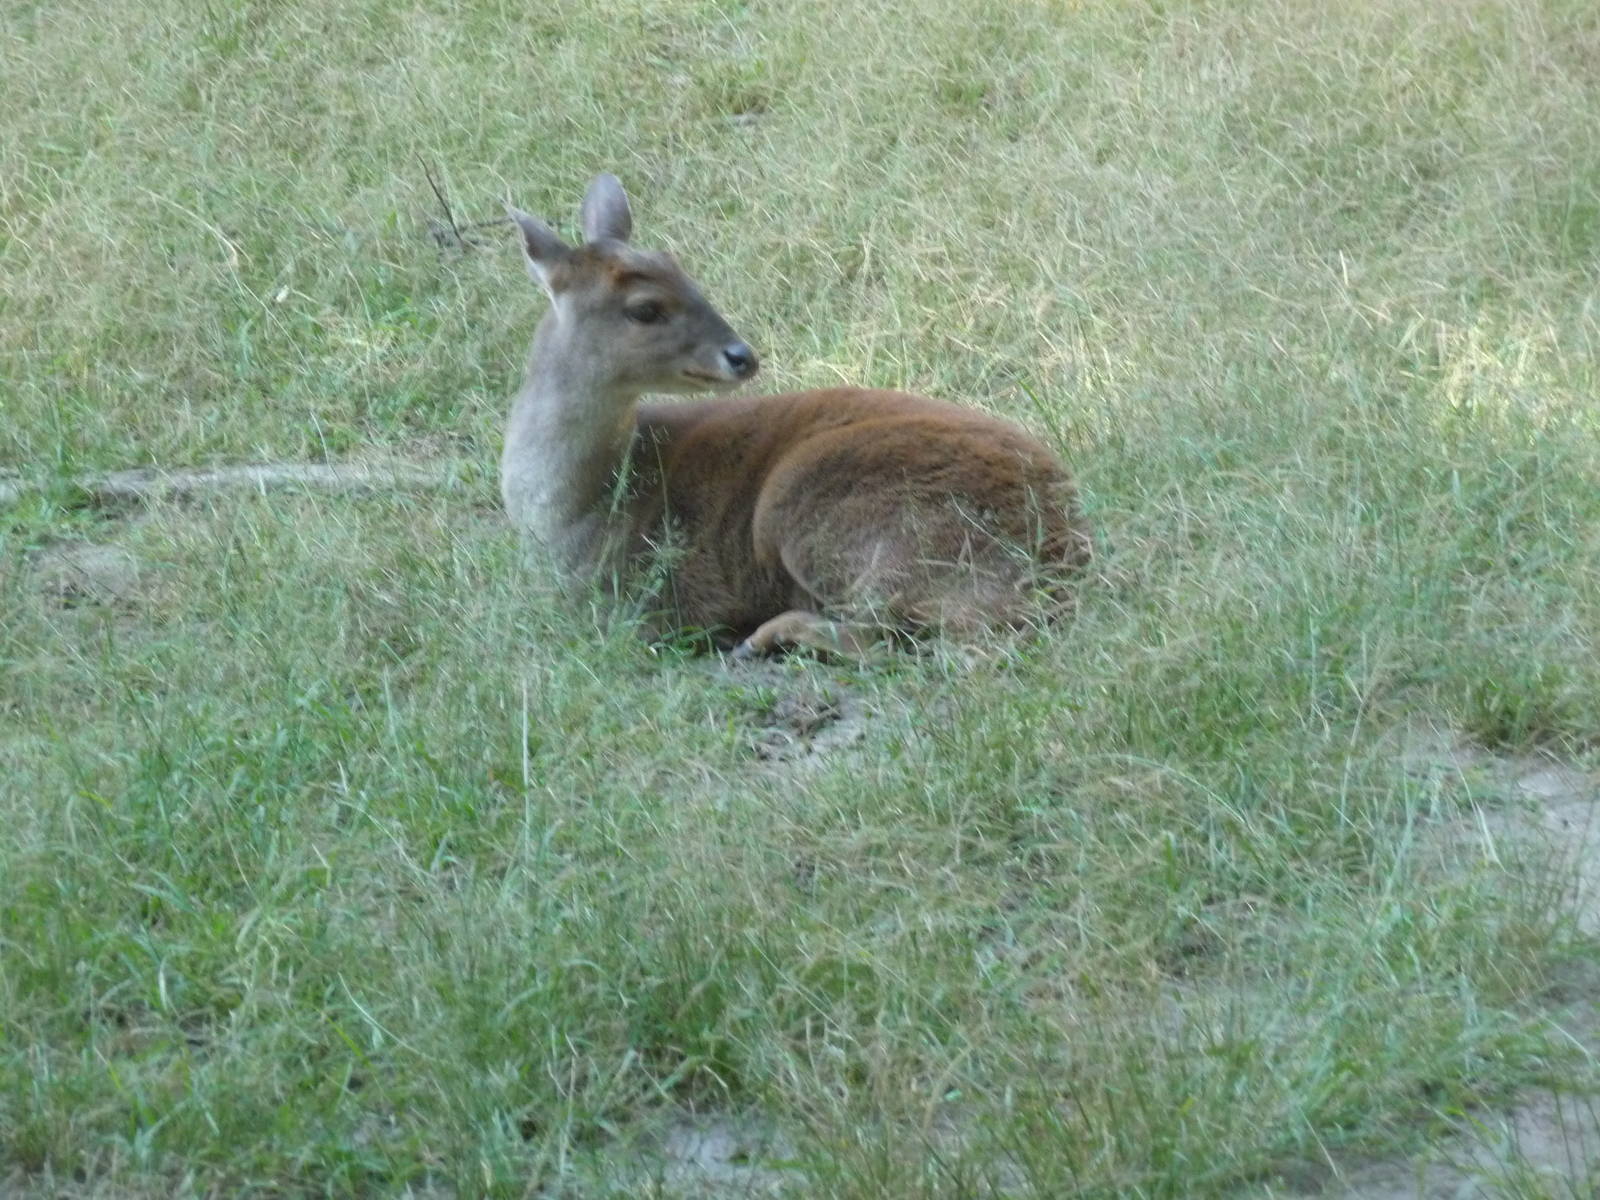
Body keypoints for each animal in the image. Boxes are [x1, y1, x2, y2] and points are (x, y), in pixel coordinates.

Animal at [501, 174, 1093, 659]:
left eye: (687, 275)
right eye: (646, 308)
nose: (742, 355)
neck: (582, 504)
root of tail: (1061, 554)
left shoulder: (647, 603)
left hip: (813, 506)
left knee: (884, 636)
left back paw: (766, 636)